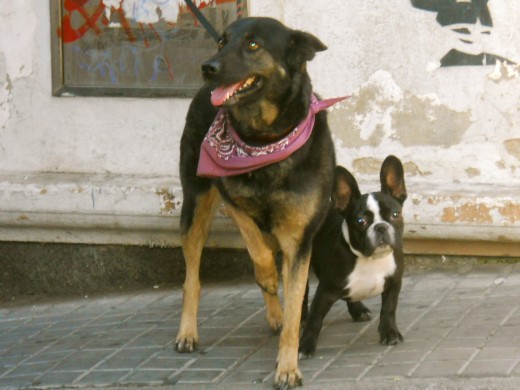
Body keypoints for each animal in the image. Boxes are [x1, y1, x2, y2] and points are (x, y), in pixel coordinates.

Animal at [177, 16, 344, 388]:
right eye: (222, 40)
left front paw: (288, 367)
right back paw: (188, 331)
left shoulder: (299, 240)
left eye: (253, 44)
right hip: (195, 205)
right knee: (192, 277)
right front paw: (267, 276)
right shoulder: (231, 197)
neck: (265, 140)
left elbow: (295, 309)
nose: (207, 68)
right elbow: (257, 249)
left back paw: (275, 315)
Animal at [300, 155, 406, 356]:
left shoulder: (394, 281)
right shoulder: (326, 290)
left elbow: (389, 309)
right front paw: (305, 346)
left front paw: (390, 333)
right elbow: (315, 320)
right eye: (360, 221)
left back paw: (358, 310)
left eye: (395, 214)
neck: (370, 259)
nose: (381, 227)